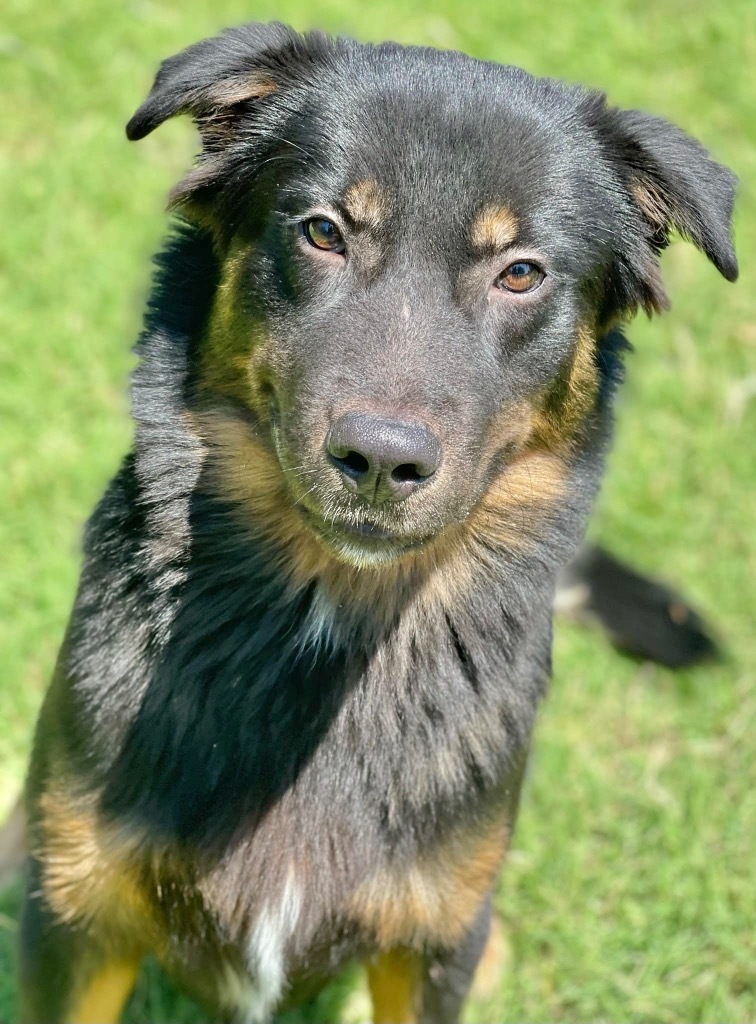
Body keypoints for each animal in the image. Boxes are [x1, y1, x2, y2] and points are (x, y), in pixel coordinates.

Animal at [19, 24, 737, 1024]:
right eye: (324, 231)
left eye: (521, 272)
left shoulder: (428, 941)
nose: (381, 460)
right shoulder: (79, 911)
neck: (334, 619)